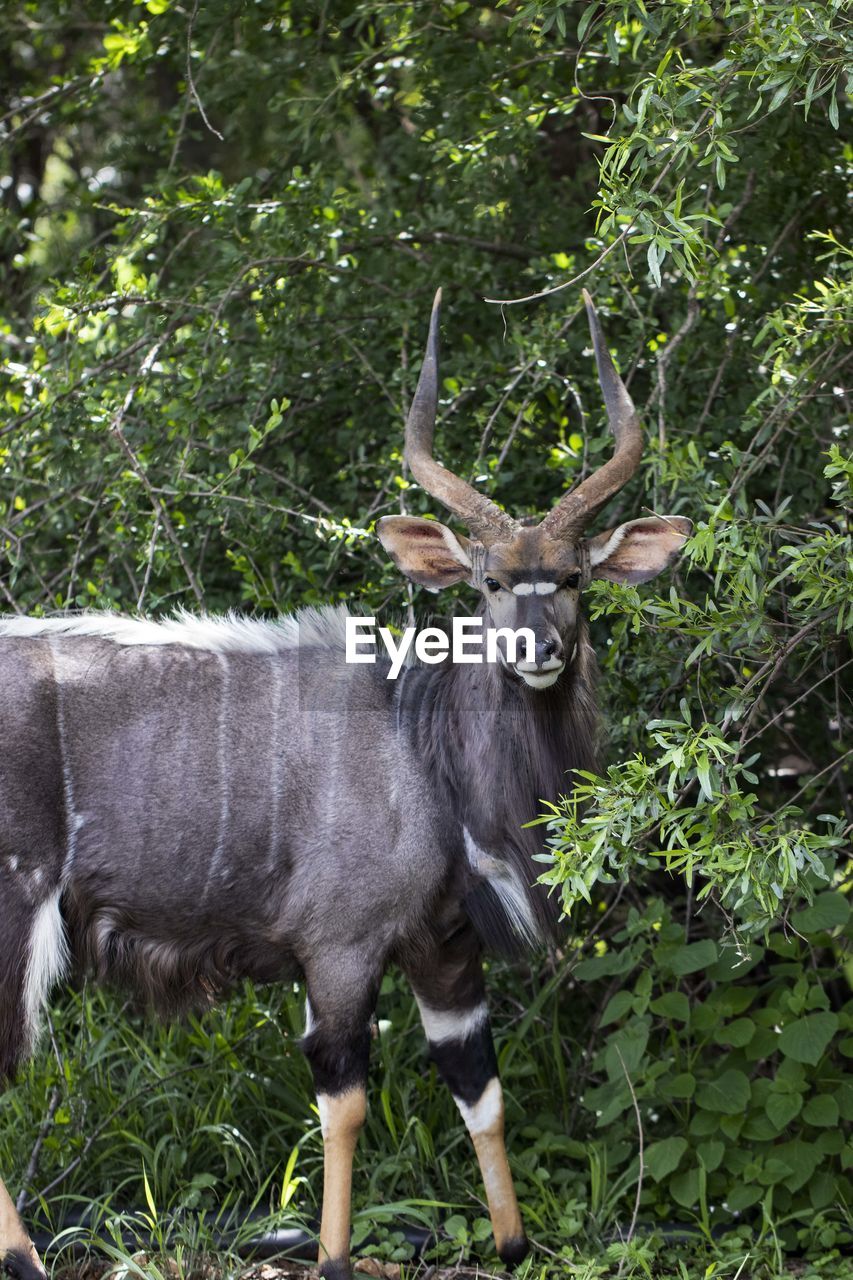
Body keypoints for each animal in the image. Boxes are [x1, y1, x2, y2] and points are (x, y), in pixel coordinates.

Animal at [0, 290, 686, 1280]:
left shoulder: (444, 948)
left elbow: (480, 1090)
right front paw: (329, 1256)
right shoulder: (339, 947)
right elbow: (345, 1099)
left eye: (570, 576)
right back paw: (27, 1261)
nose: (538, 649)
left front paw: (513, 1242)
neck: (423, 745)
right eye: (488, 582)